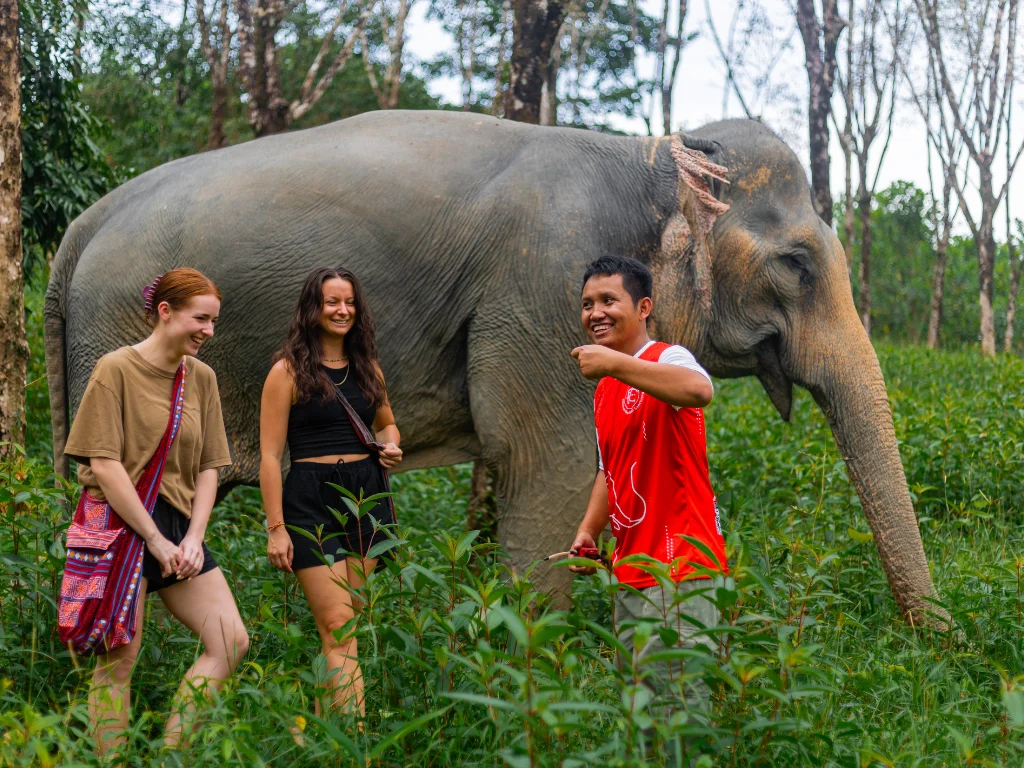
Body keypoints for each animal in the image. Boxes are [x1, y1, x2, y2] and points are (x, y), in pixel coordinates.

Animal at [45, 109, 942, 626]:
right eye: (796, 264)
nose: (935, 651)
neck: (649, 156)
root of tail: (81, 228)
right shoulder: (545, 284)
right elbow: (548, 465)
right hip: (125, 339)